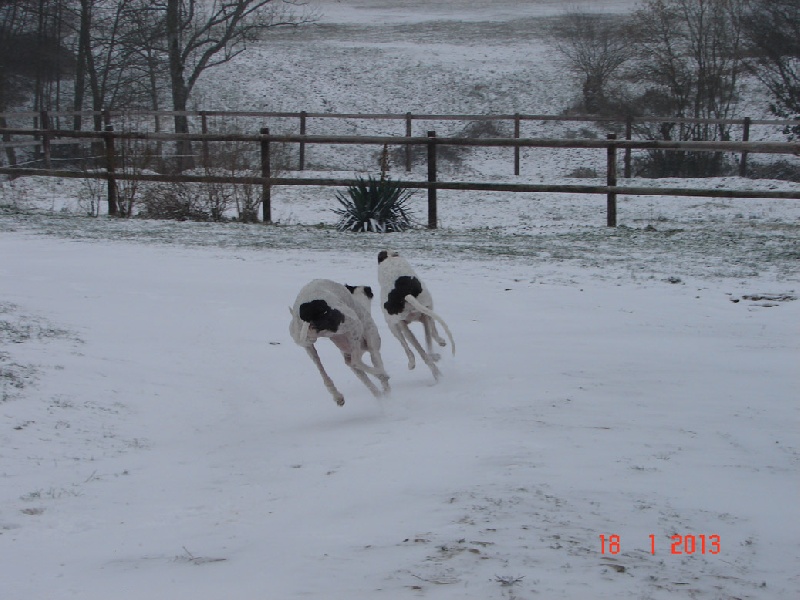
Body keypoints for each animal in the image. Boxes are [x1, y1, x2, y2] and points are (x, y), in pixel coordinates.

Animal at [377, 249, 455, 381]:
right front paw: (440, 342)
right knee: (424, 351)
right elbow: (432, 331)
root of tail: (403, 293)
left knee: (413, 349)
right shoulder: (425, 313)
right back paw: (436, 369)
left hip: (395, 325)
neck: (390, 260)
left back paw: (419, 364)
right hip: (417, 315)